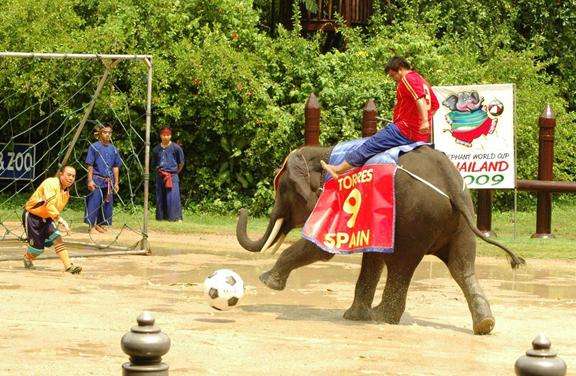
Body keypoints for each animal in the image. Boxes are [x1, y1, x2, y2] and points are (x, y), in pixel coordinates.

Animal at [236, 145, 524, 334]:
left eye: (282, 191)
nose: (242, 210)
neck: (324, 151)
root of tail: (451, 185)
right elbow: (372, 257)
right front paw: (353, 317)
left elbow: (321, 247)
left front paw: (266, 281)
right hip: (460, 222)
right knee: (461, 267)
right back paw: (485, 325)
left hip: (414, 219)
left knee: (401, 265)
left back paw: (381, 317)